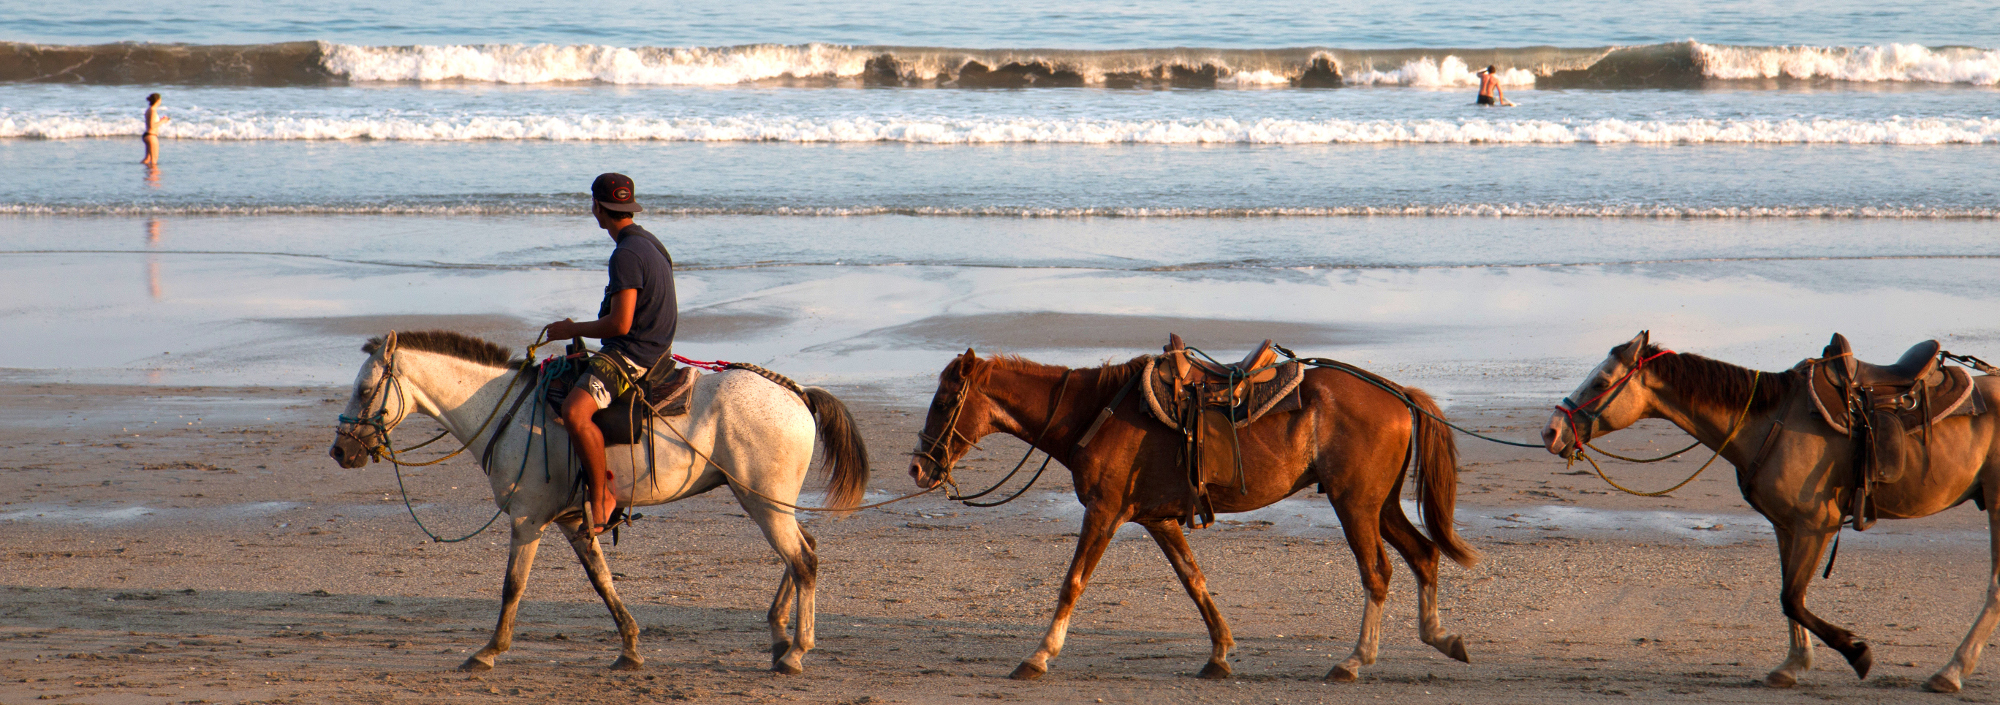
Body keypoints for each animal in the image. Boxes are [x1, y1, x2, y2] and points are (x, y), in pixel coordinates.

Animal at [326, 330, 868, 672]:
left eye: (365, 388)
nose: (339, 451)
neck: (507, 412)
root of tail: (797, 393)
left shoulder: (527, 519)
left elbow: (512, 586)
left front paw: (489, 651)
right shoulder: (572, 521)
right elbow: (602, 581)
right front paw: (629, 647)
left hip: (764, 502)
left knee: (803, 560)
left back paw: (796, 652)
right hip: (765, 500)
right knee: (803, 550)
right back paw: (779, 637)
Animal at [916, 350, 1480, 680]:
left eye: (944, 401)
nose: (918, 467)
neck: (1096, 412)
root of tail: (1398, 394)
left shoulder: (1104, 511)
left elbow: (1072, 582)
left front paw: (1040, 654)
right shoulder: (1157, 519)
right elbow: (1194, 581)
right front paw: (1220, 653)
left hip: (1355, 504)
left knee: (1378, 572)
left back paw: (1354, 660)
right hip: (1380, 505)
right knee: (1424, 556)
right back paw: (1441, 637)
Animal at [1544, 332, 2000, 692]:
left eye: (1601, 381)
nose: (1551, 431)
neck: (1768, 421)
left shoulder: (1816, 526)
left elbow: (1792, 598)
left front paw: (1857, 652)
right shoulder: (1787, 526)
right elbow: (1789, 596)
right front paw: (1793, 665)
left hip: (1996, 504)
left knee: (1995, 588)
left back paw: (1951, 672)